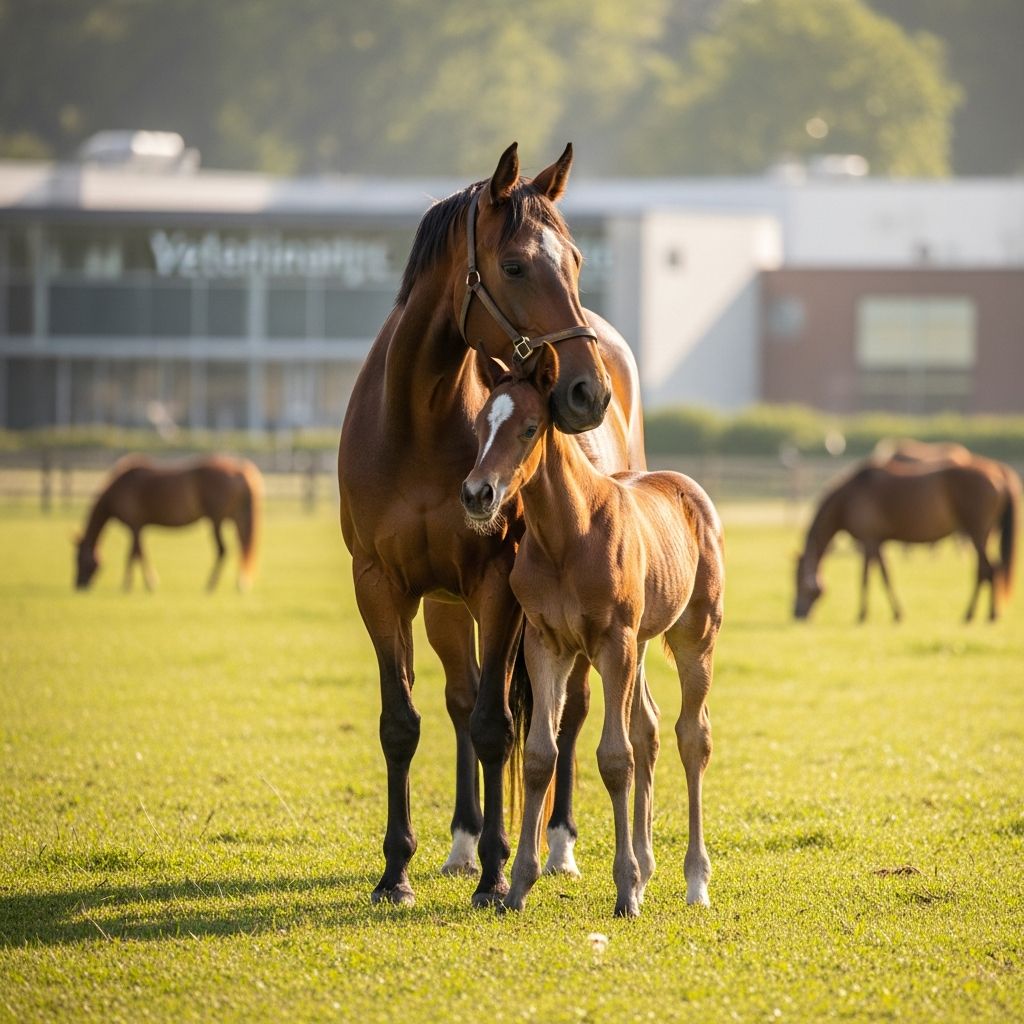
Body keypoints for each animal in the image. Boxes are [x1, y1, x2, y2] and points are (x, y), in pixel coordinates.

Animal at [74, 454, 263, 592]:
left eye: (78, 558)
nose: (78, 585)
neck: (118, 489)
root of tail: (239, 470)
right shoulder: (139, 527)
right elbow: (138, 553)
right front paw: (142, 583)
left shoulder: (134, 525)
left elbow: (134, 554)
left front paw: (135, 585)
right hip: (237, 517)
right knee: (242, 547)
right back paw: (241, 583)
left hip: (217, 519)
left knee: (222, 550)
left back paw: (210, 585)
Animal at [337, 142, 646, 908]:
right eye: (514, 266)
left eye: (576, 259)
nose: (586, 392)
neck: (417, 422)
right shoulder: (380, 586)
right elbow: (404, 722)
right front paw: (397, 871)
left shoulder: (498, 587)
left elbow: (497, 725)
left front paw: (500, 870)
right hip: (446, 609)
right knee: (458, 696)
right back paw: (460, 843)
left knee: (565, 713)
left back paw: (556, 844)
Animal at [461, 343, 725, 916]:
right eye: (480, 424)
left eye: (530, 427)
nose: (477, 494)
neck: (568, 535)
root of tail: (688, 487)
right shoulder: (545, 643)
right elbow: (541, 755)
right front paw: (518, 885)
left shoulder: (613, 642)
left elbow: (614, 757)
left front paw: (625, 891)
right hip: (642, 644)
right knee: (649, 727)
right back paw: (649, 867)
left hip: (694, 638)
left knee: (691, 736)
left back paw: (695, 882)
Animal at [794, 455, 1020, 622]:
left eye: (798, 581)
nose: (796, 613)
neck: (848, 499)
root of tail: (999, 473)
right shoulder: (878, 542)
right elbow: (884, 575)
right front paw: (894, 613)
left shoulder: (869, 540)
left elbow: (869, 578)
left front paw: (864, 615)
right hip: (985, 533)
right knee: (989, 569)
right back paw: (983, 613)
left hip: (976, 530)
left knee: (988, 569)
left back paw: (977, 615)